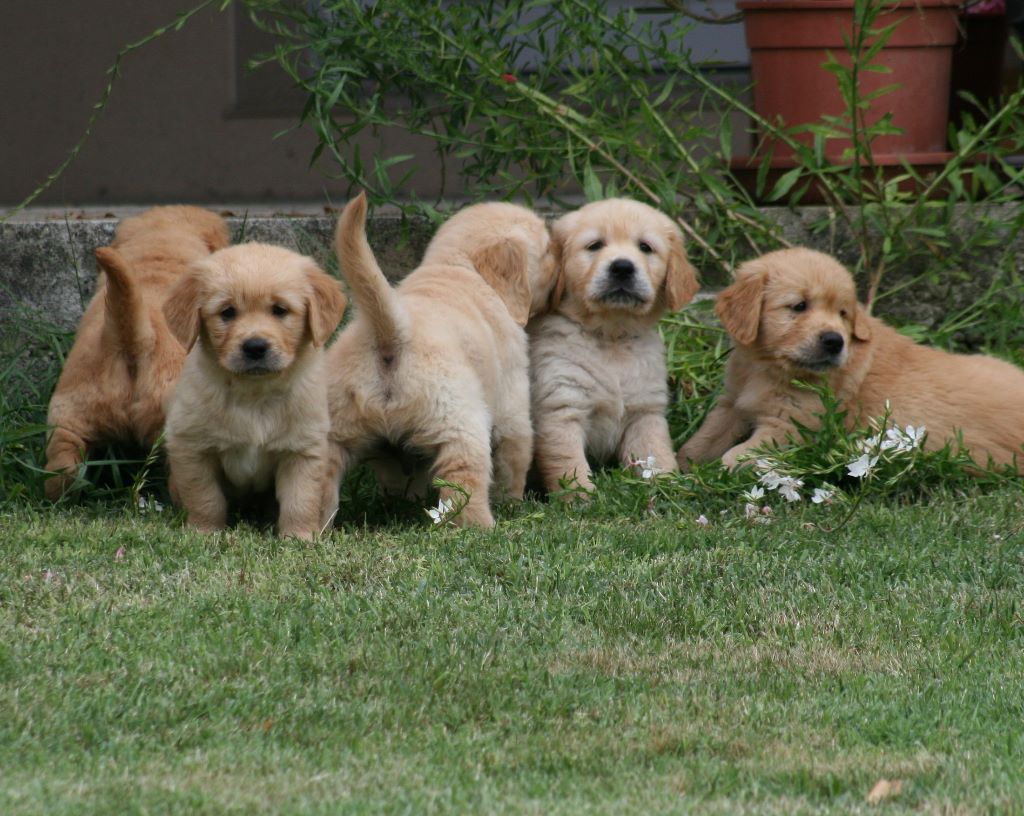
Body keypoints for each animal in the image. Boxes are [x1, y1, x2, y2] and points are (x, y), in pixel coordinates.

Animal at [161, 243, 346, 540]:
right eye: (227, 312)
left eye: (280, 310)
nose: (255, 347)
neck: (255, 394)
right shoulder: (191, 446)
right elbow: (205, 497)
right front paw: (204, 532)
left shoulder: (303, 449)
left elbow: (300, 499)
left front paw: (299, 538)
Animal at [325, 191, 552, 528]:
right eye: (549, 252)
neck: (459, 265)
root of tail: (390, 333)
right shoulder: (512, 400)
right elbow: (514, 456)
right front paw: (512, 501)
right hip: (460, 422)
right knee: (464, 481)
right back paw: (481, 527)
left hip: (328, 434)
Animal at [524, 195, 700, 497]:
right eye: (595, 245)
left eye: (645, 247)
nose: (622, 267)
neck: (611, 337)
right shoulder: (561, 407)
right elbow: (568, 464)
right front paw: (581, 497)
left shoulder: (645, 413)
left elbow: (657, 453)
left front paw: (669, 487)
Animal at [679, 244, 1024, 468]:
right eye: (799, 306)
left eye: (843, 313)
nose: (835, 341)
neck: (767, 367)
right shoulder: (732, 403)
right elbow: (703, 438)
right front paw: (681, 467)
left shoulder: (792, 425)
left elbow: (735, 455)